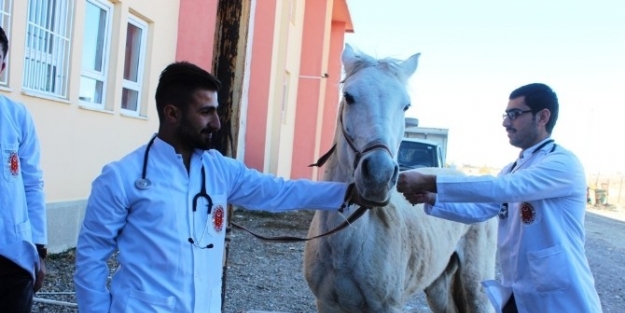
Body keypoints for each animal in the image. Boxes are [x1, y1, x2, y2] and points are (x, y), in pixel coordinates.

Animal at [302, 44, 498, 312]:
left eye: (406, 105)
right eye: (349, 96)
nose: (378, 175)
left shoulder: (387, 306)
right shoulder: (326, 303)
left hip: (476, 286)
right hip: (438, 286)